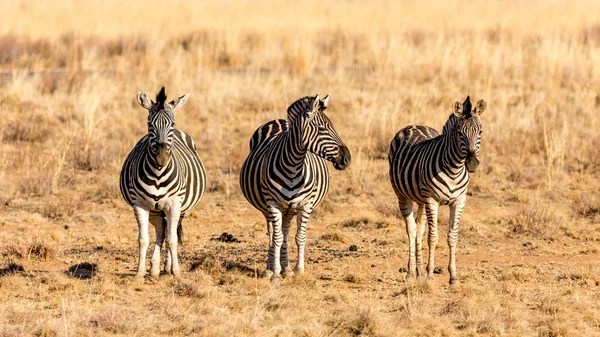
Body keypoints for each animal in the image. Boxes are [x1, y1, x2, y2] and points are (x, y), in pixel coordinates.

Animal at [119, 87, 206, 280]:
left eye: (172, 123)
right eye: (149, 124)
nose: (162, 158)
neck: (158, 174)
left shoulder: (174, 204)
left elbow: (172, 239)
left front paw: (176, 272)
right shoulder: (140, 204)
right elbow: (143, 239)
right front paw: (140, 273)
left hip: (181, 208)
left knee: (169, 232)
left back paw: (167, 267)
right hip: (155, 209)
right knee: (161, 230)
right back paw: (155, 269)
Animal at [239, 93, 352, 280]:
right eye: (322, 129)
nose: (347, 159)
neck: (293, 165)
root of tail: (279, 120)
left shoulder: (306, 204)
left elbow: (300, 237)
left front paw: (298, 270)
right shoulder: (272, 203)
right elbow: (276, 239)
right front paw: (275, 274)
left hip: (290, 209)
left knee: (285, 233)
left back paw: (286, 268)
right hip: (268, 208)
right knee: (273, 234)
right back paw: (270, 268)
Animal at [390, 94, 488, 284]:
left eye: (480, 132)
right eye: (460, 133)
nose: (472, 164)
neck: (454, 169)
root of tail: (412, 125)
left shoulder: (459, 201)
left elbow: (452, 237)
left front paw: (453, 277)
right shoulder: (432, 200)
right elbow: (433, 237)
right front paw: (429, 275)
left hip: (420, 199)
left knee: (419, 229)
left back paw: (419, 270)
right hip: (402, 195)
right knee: (412, 230)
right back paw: (411, 273)